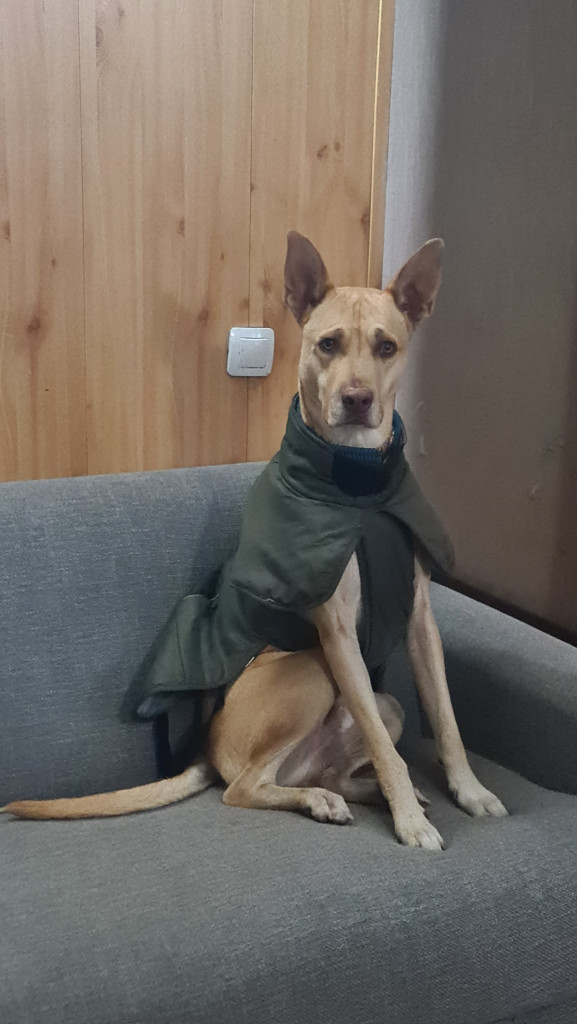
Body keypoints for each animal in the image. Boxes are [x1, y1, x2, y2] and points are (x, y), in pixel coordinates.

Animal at [2, 232, 507, 849]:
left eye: (387, 346)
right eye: (328, 344)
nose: (357, 399)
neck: (359, 487)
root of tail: (204, 748)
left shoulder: (420, 621)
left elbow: (447, 719)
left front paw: (468, 791)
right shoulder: (337, 634)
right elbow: (391, 752)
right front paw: (409, 821)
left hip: (387, 704)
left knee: (333, 767)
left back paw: (356, 793)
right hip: (310, 673)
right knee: (242, 787)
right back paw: (330, 799)